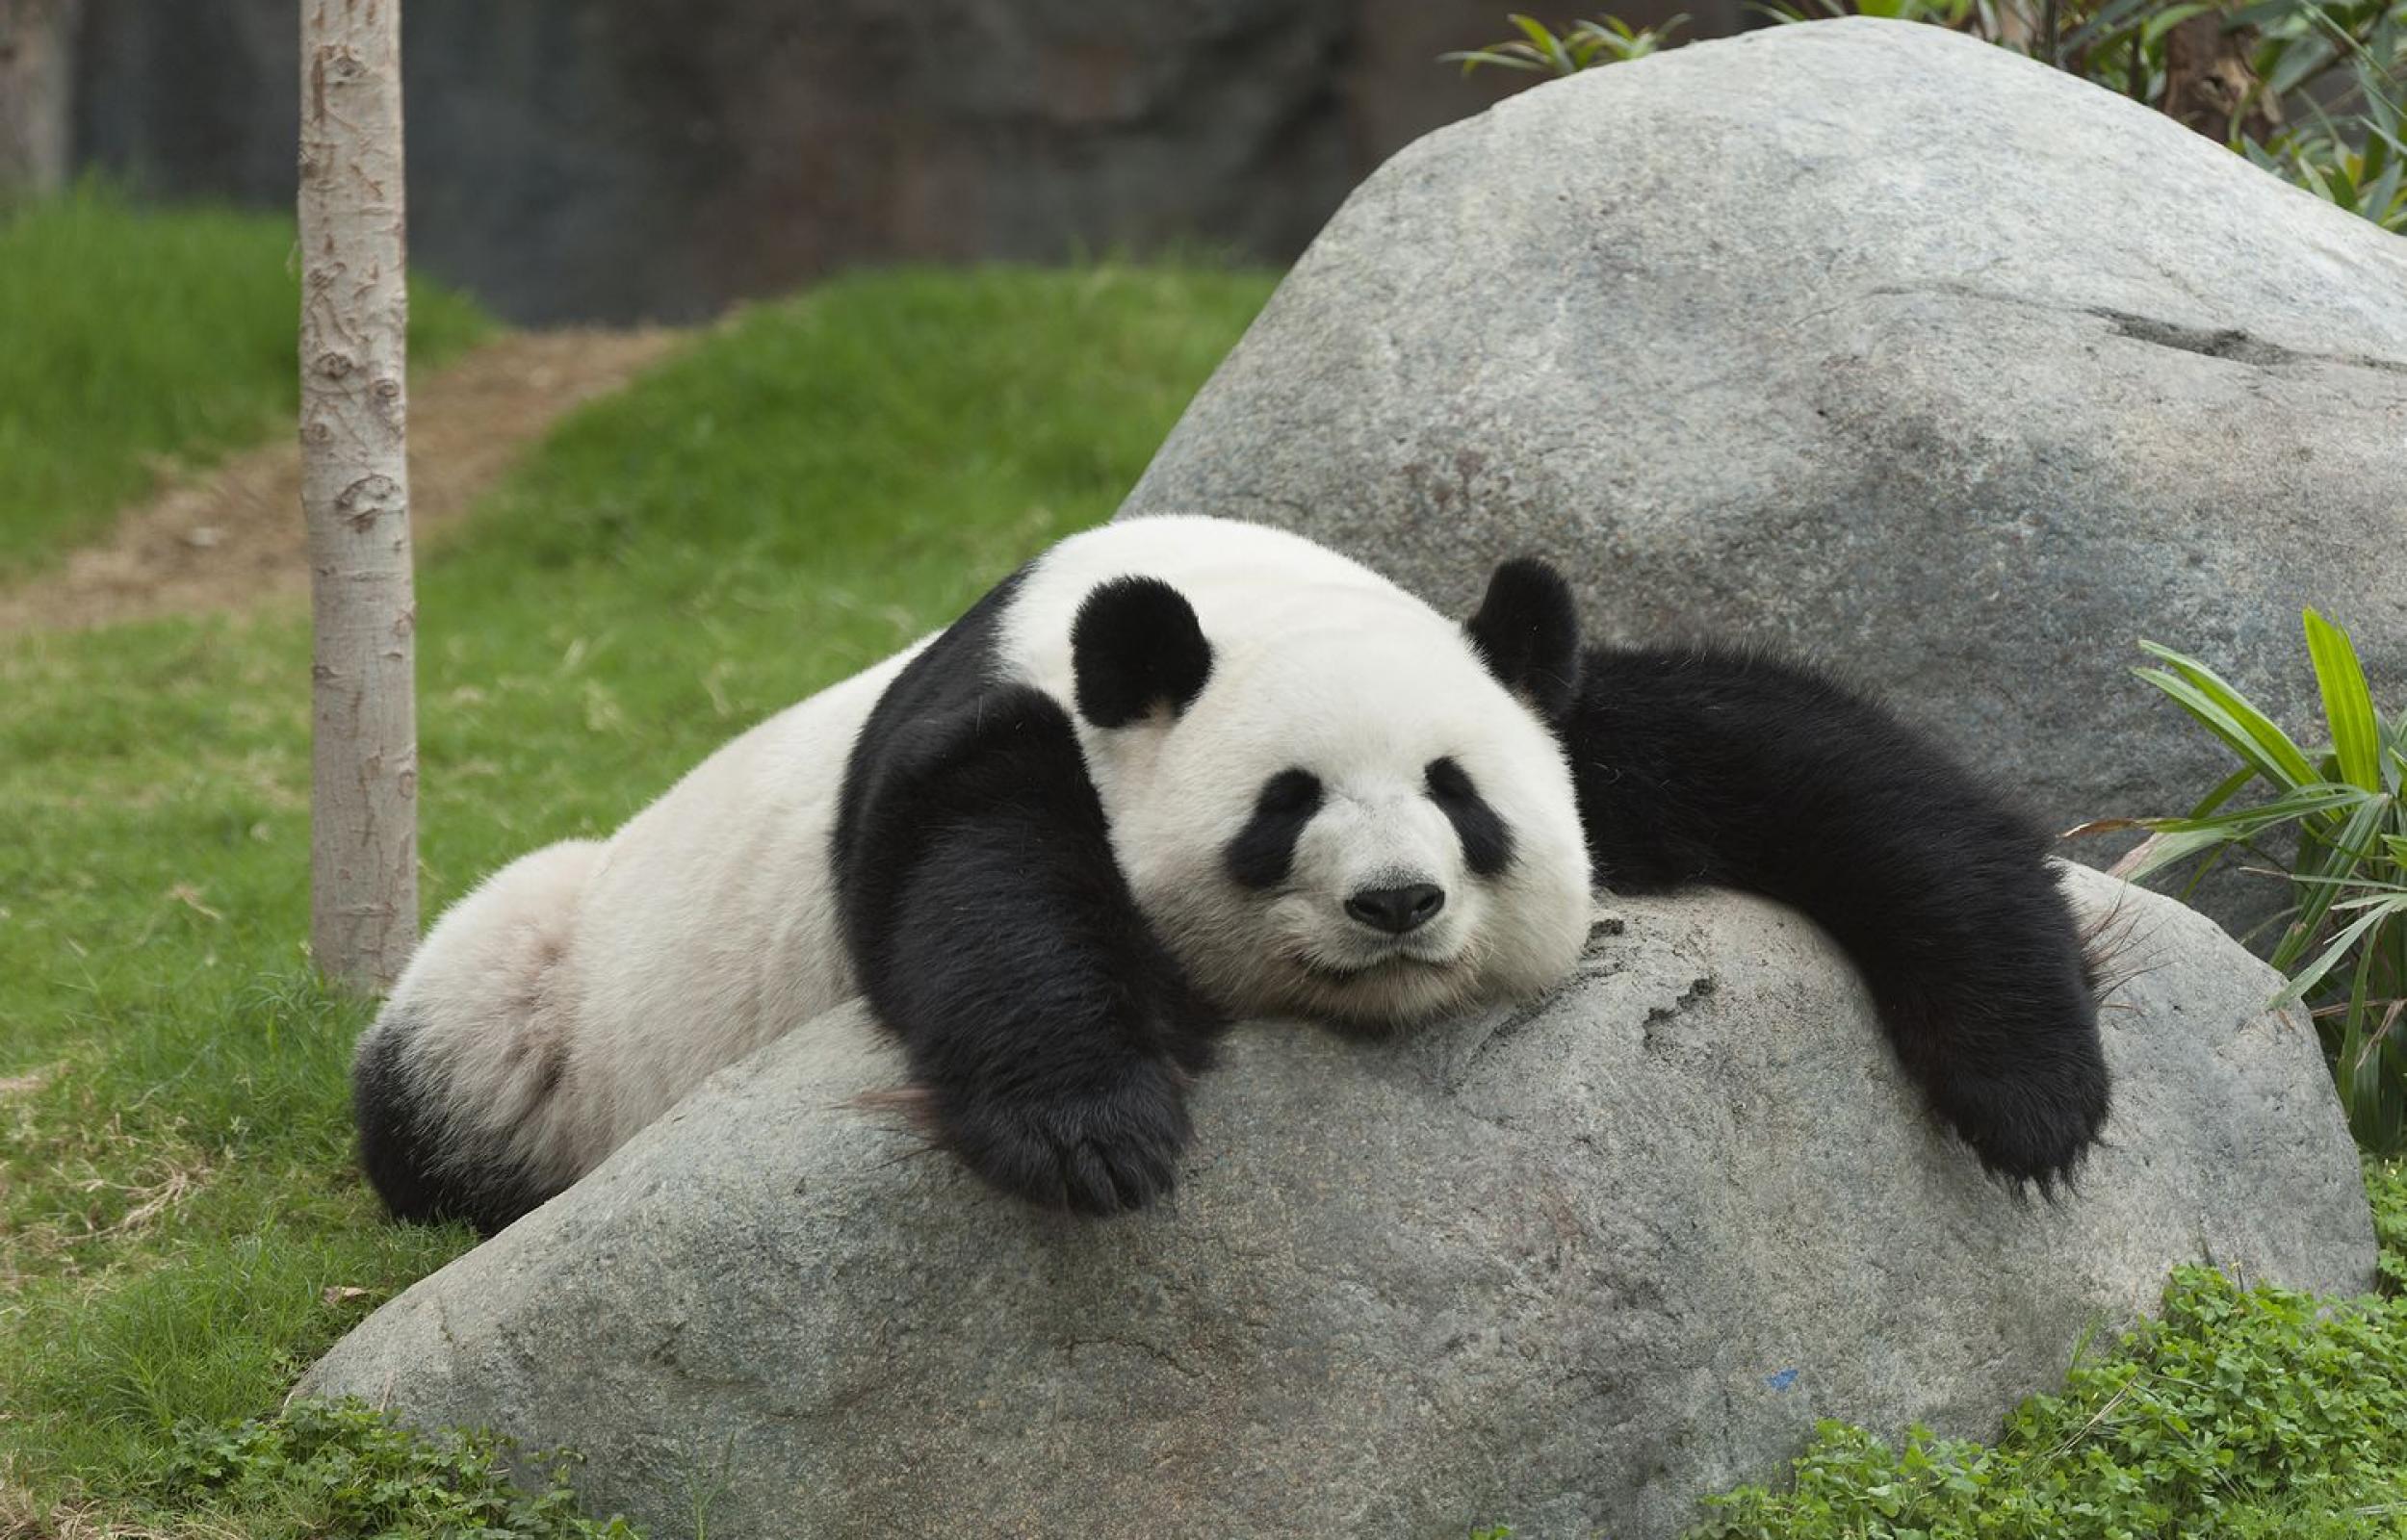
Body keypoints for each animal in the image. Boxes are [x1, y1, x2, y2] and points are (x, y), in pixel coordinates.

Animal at [353, 515, 2110, 1236]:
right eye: (1286, 808)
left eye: (1462, 803)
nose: (1396, 904)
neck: (1223, 591)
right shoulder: (997, 731)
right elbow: (977, 884)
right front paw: (1095, 1131)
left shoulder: (1545, 696)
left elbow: (1826, 771)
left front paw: (2035, 1091)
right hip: (548, 990)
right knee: (454, 1054)